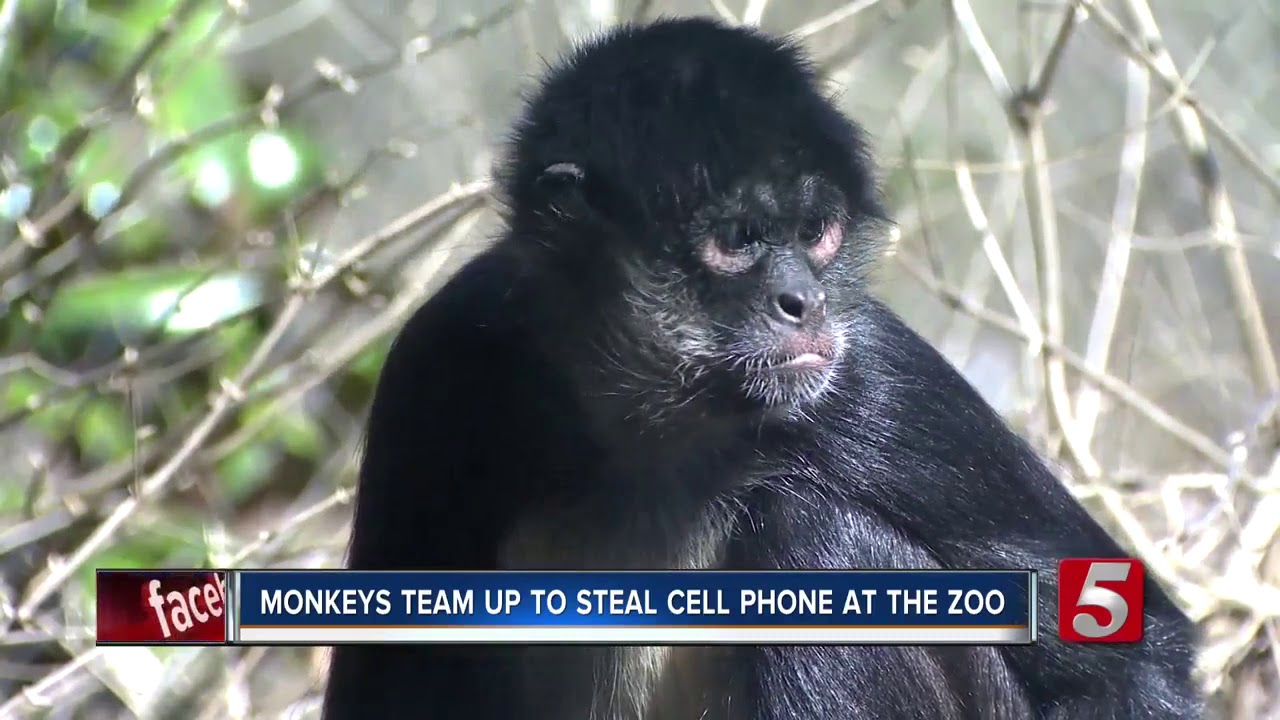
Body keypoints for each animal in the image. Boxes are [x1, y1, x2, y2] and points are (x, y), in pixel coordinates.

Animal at [322, 16, 1202, 720]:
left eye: (815, 232)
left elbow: (1136, 662)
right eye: (739, 238)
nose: (802, 301)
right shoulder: (449, 355)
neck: (652, 425)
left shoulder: (865, 374)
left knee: (816, 533)